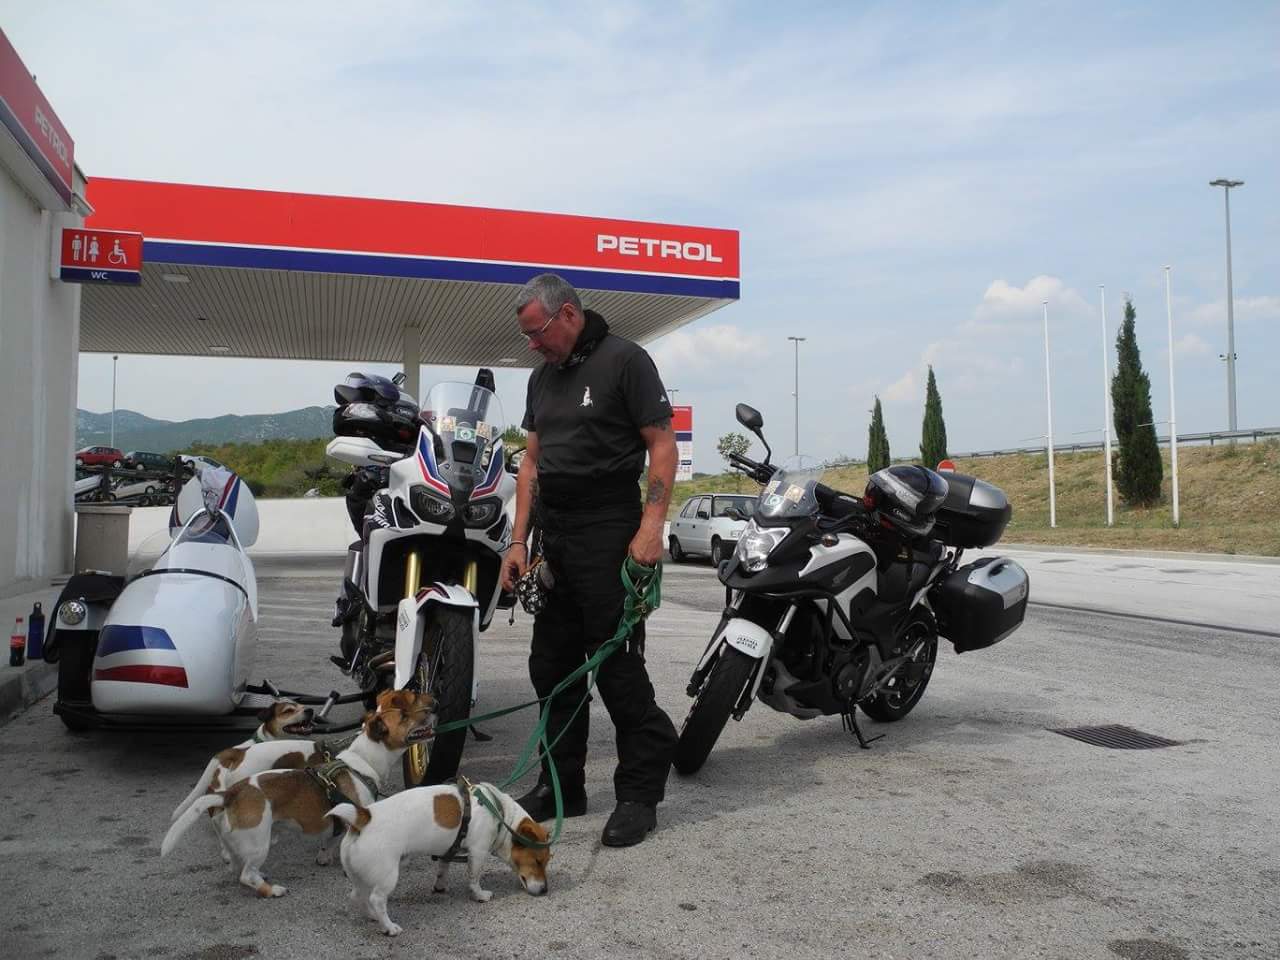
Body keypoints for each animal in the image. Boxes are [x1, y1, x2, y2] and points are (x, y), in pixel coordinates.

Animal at [162, 689, 434, 898]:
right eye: (404, 714)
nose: (433, 709)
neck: (362, 761)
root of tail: (230, 794)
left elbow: (329, 839)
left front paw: (324, 857)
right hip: (259, 843)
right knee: (246, 876)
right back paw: (272, 890)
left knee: (236, 862)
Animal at [328, 781, 551, 936]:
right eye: (537, 861)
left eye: (546, 862)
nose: (545, 890)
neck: (500, 813)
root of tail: (363, 817)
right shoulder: (478, 852)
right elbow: (474, 878)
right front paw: (479, 895)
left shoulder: (448, 851)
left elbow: (443, 869)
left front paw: (440, 885)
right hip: (387, 876)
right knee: (376, 899)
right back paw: (389, 927)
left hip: (360, 876)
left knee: (358, 896)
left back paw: (373, 917)